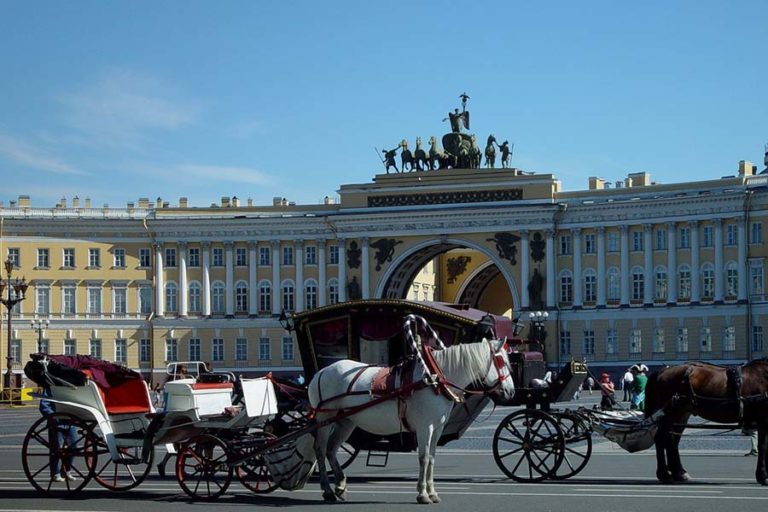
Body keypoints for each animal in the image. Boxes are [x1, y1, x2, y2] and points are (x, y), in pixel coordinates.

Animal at [308, 340, 516, 504]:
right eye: (501, 361)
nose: (511, 392)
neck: (434, 380)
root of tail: (321, 372)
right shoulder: (425, 427)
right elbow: (423, 458)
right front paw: (422, 494)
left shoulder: (437, 428)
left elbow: (431, 458)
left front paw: (432, 493)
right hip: (325, 419)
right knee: (320, 449)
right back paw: (327, 489)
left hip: (346, 421)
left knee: (331, 449)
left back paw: (340, 485)